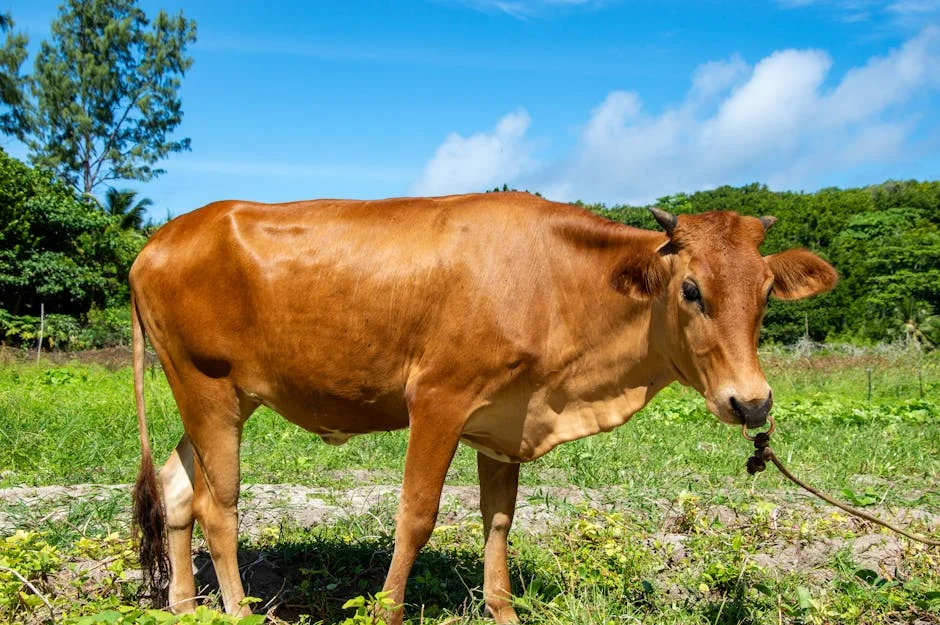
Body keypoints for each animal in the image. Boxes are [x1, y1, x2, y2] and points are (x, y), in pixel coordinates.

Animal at [130, 192, 837, 623]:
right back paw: (238, 611)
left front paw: (504, 611)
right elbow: (416, 516)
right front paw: (388, 610)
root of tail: (158, 240)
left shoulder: (506, 419)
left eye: (766, 292)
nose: (752, 401)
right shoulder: (438, 398)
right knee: (218, 506)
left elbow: (499, 521)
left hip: (225, 396)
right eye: (690, 289)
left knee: (176, 489)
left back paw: (184, 607)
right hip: (208, 387)